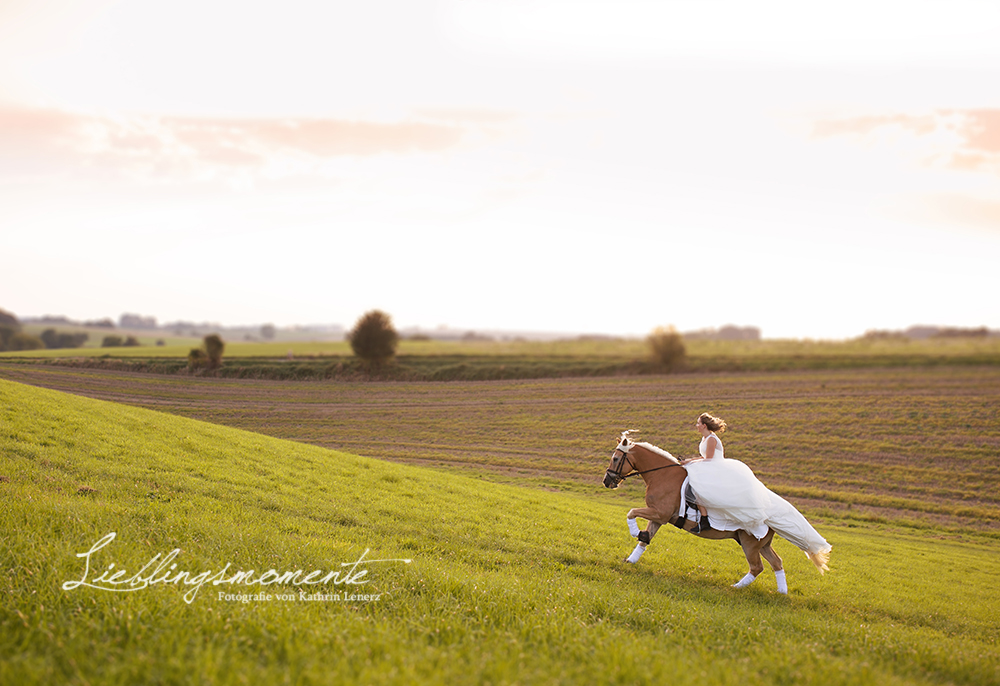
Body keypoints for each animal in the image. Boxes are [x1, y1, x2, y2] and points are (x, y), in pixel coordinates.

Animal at [600, 432, 828, 592]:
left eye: (615, 459)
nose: (607, 481)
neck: (662, 475)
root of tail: (770, 515)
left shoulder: (659, 514)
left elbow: (631, 512)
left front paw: (634, 532)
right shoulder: (658, 516)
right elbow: (645, 539)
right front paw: (631, 559)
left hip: (749, 543)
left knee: (757, 567)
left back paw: (735, 588)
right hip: (761, 543)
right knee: (777, 563)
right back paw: (782, 593)